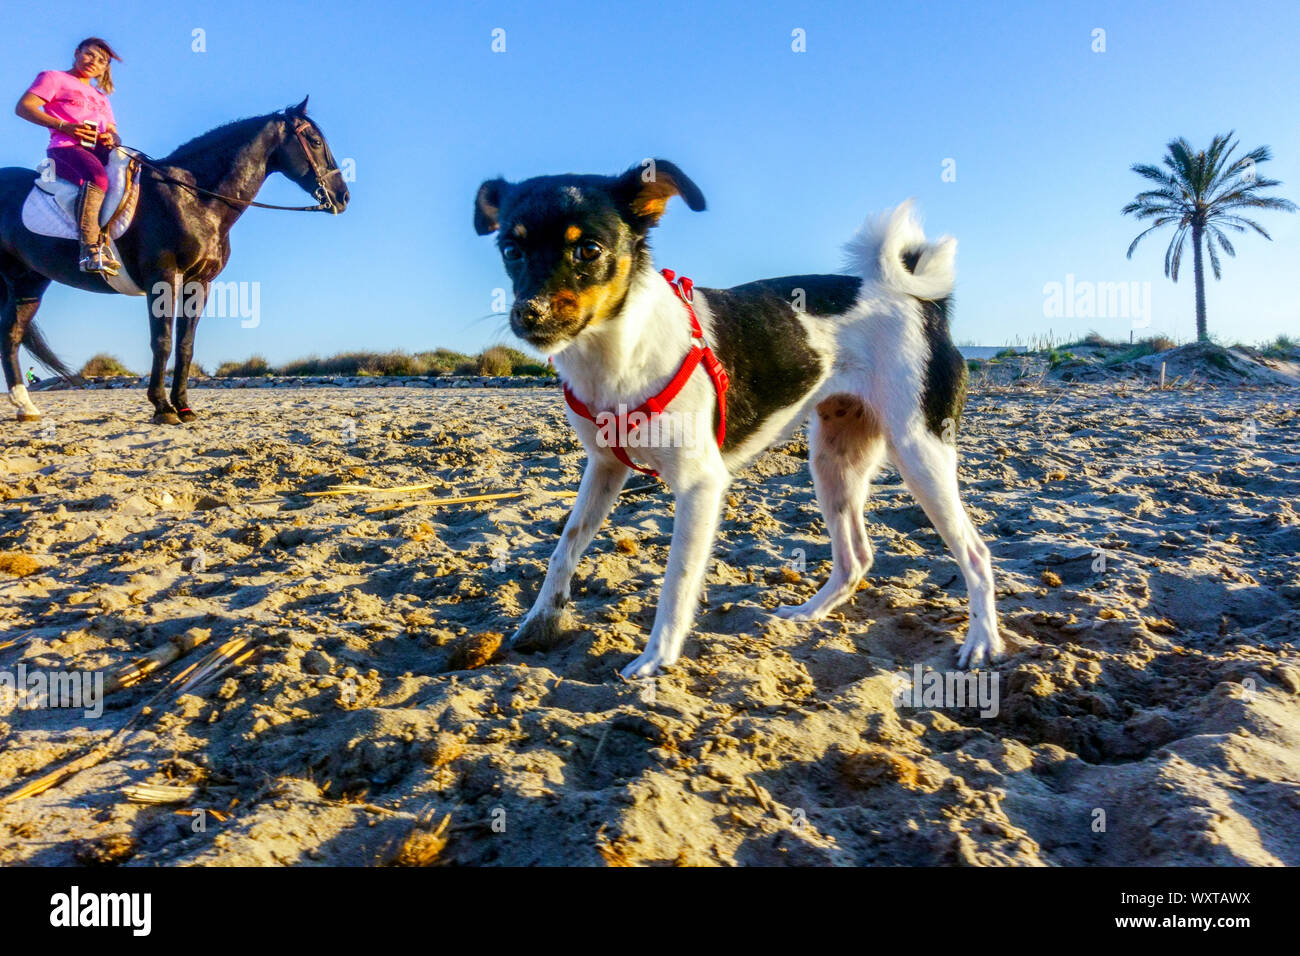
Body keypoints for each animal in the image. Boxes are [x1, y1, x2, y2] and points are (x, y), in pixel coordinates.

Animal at [0, 97, 348, 421]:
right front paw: (162, 407)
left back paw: (25, 407)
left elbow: (185, 345)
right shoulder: (162, 276)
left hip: (29, 284)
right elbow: (163, 341)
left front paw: (183, 406)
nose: (342, 196)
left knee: (11, 336)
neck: (195, 198)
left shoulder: (199, 283)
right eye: (315, 141)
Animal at [473, 158, 998, 681]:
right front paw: (540, 621)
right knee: (856, 558)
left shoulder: (700, 485)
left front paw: (657, 657)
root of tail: (924, 305)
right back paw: (810, 612)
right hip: (834, 461)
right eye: (511, 250)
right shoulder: (604, 467)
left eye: (588, 249)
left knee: (975, 552)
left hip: (919, 450)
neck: (615, 347)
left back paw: (982, 642)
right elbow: (565, 545)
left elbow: (677, 578)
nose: (528, 314)